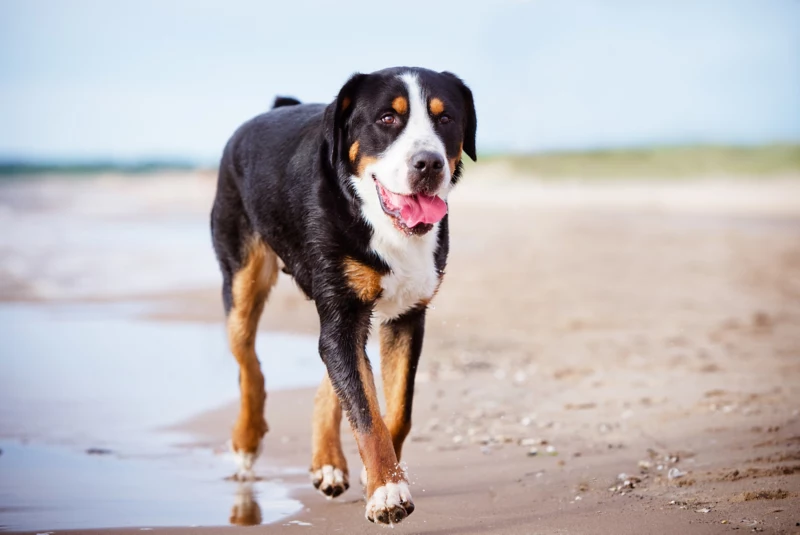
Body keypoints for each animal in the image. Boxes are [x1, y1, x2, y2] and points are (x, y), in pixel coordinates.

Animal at [209, 66, 478, 524]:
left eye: (445, 118)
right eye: (387, 118)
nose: (428, 163)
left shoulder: (406, 316)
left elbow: (394, 410)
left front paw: (382, 477)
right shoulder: (342, 314)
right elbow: (366, 414)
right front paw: (388, 491)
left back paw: (328, 462)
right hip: (242, 279)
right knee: (249, 364)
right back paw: (247, 440)